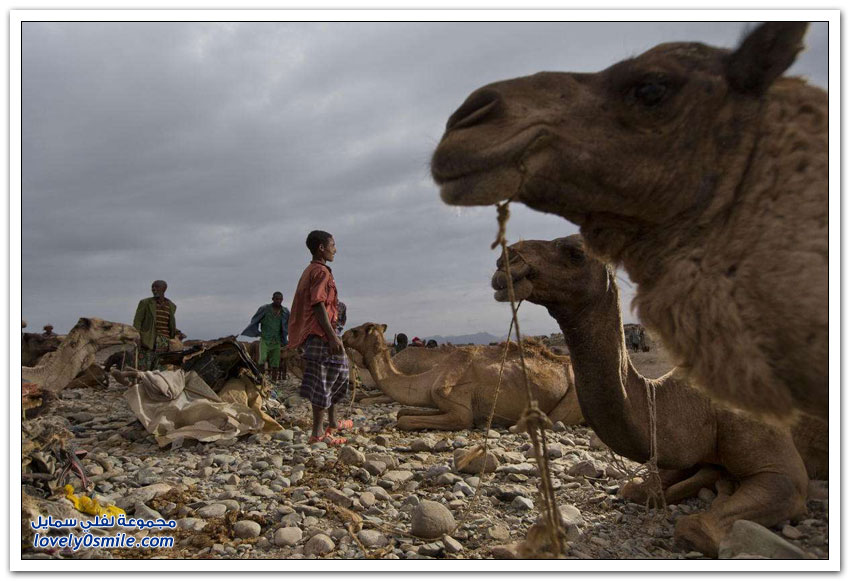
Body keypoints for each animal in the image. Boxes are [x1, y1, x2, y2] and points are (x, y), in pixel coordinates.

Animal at [340, 322, 584, 430]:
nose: (342, 335)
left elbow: (405, 420)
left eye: (357, 331)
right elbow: (402, 412)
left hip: (574, 395)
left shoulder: (460, 410)